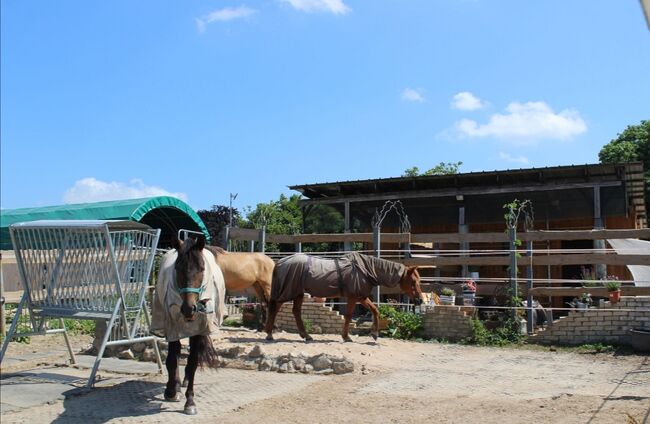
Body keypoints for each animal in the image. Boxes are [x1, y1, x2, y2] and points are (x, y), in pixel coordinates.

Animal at [264, 252, 426, 342]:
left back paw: (306, 336)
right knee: (275, 308)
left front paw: (374, 334)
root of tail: (280, 262)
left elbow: (375, 310)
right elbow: (348, 315)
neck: (364, 269)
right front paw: (346, 336)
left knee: (295, 312)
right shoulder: (354, 297)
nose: (420, 300)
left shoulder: (361, 297)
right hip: (288, 291)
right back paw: (269, 334)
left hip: (298, 293)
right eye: (413, 281)